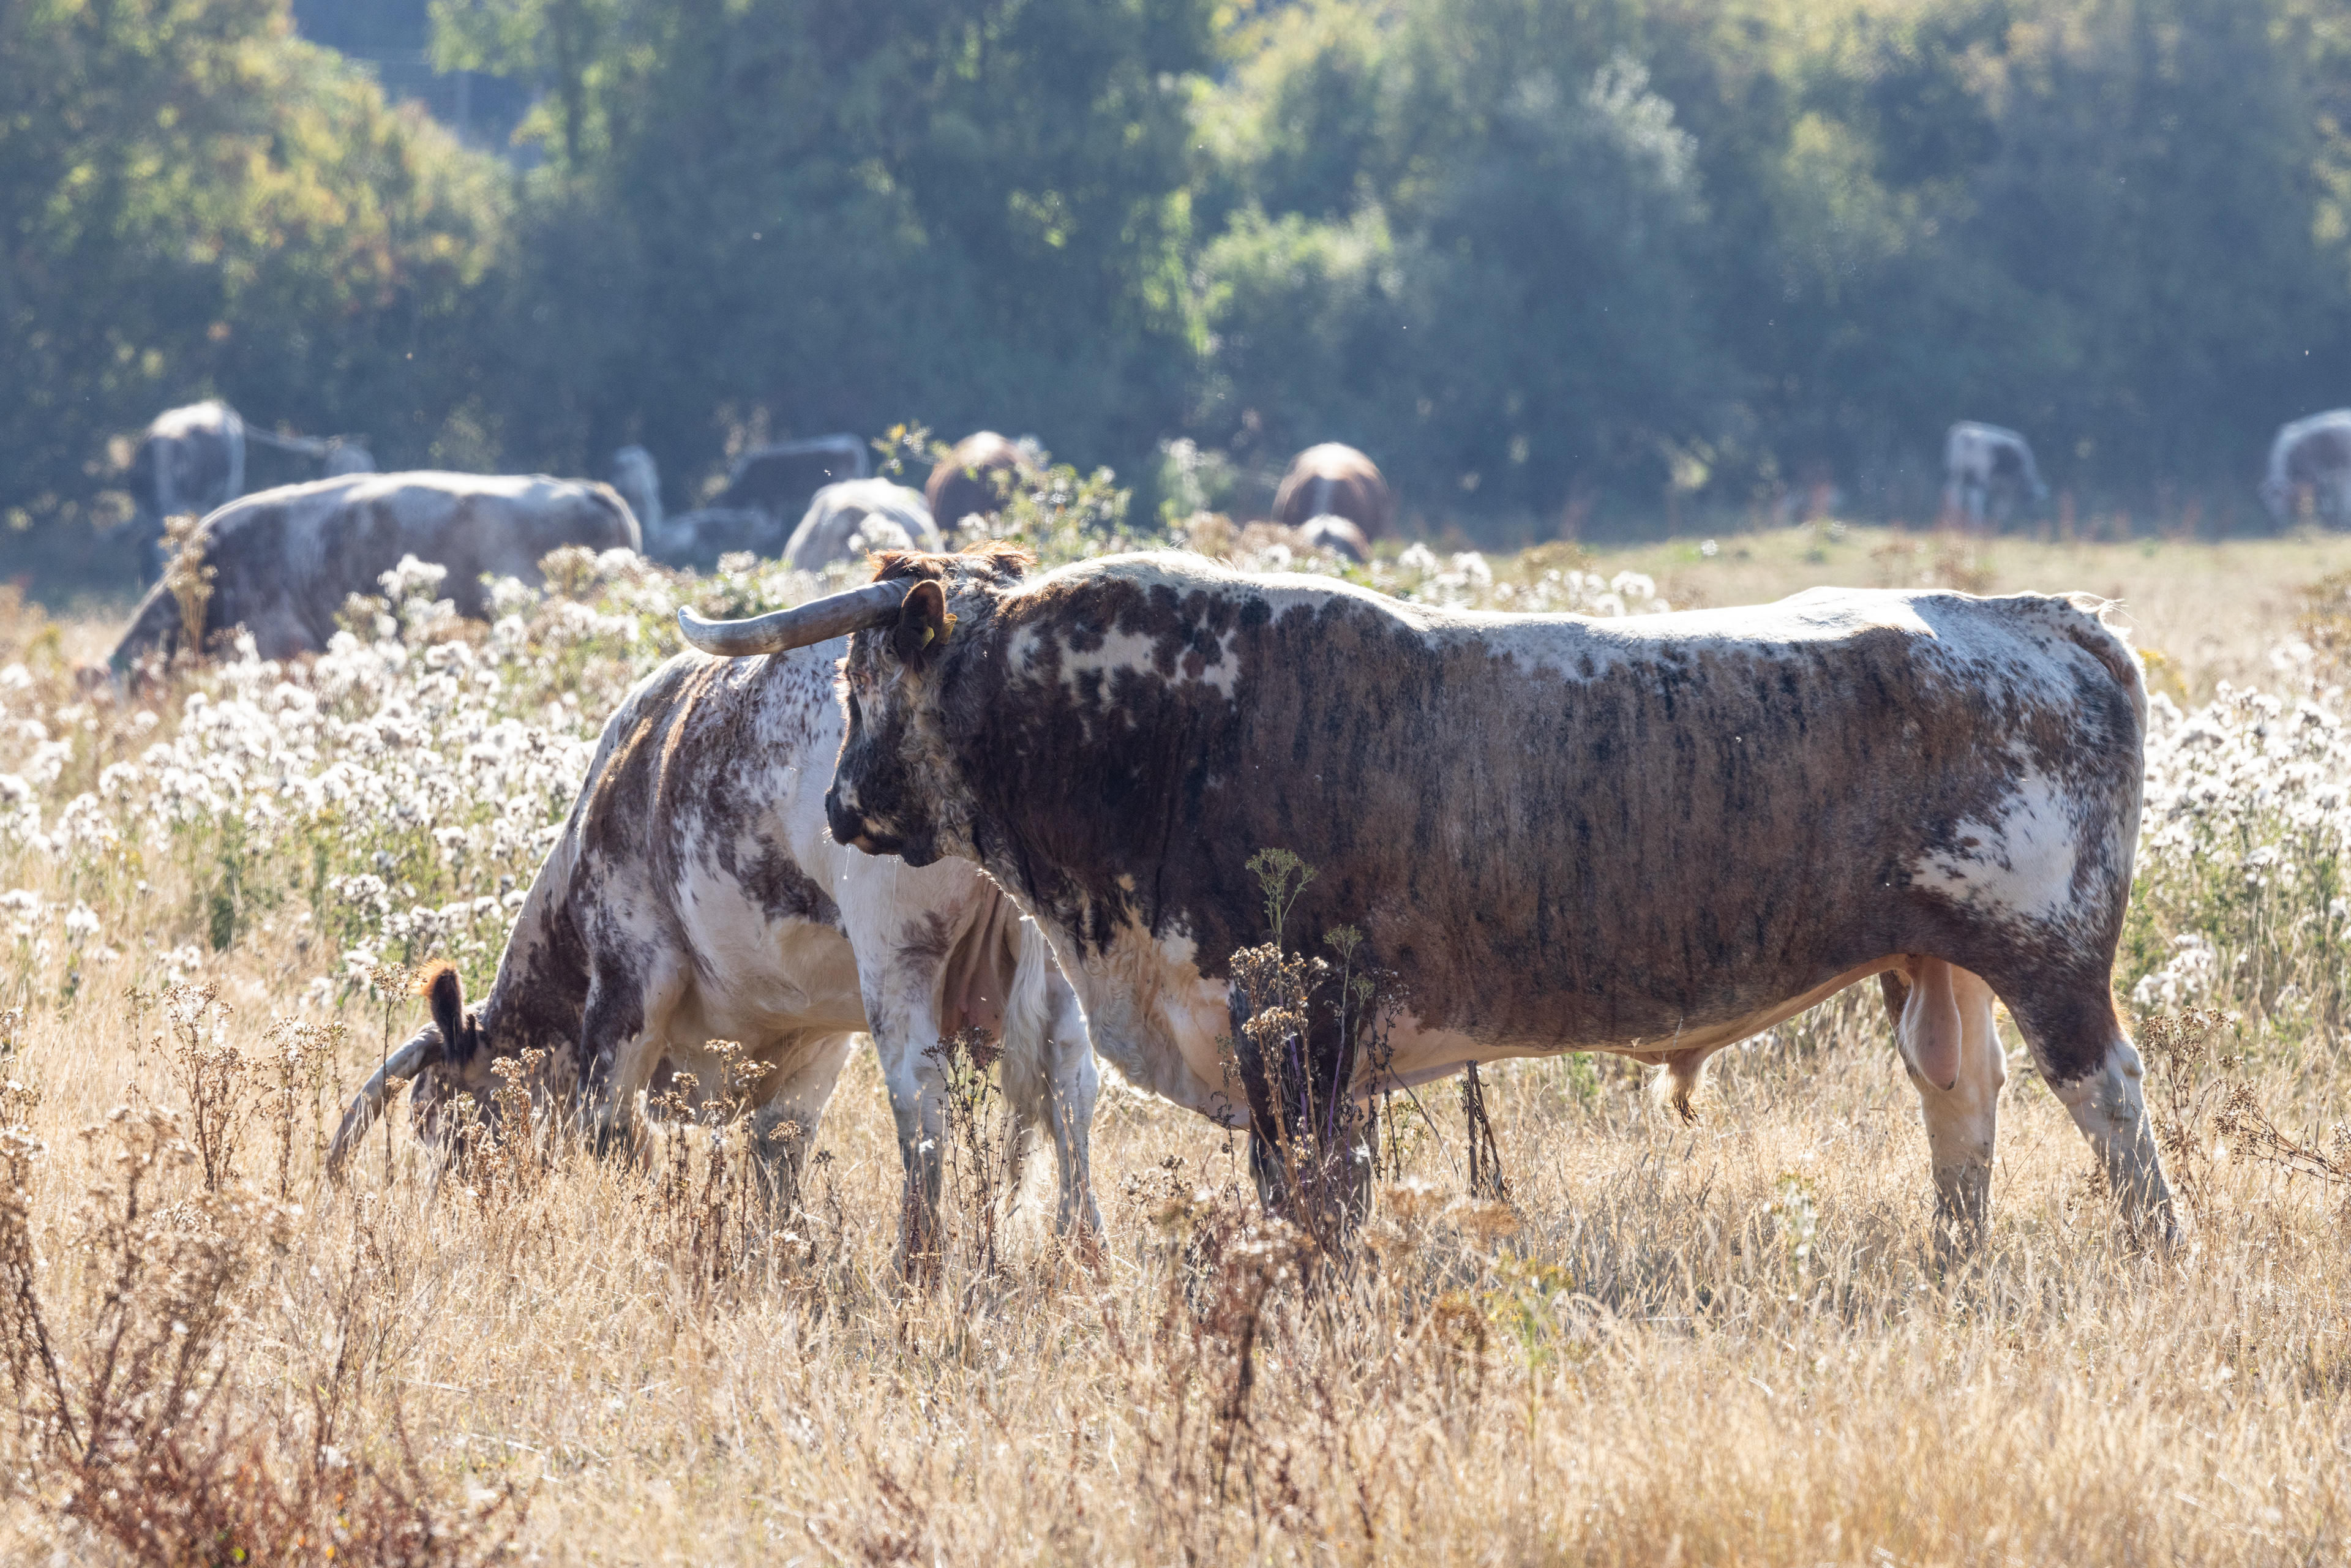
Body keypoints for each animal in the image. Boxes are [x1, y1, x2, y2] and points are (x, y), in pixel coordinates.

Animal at [324, 632, 1101, 1242]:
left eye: (443, 1122)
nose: (448, 1215)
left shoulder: (633, 975)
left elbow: (612, 1130)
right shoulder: (818, 1025)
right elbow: (778, 1149)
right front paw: (789, 1248)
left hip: (897, 956)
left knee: (921, 1101)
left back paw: (920, 1262)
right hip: (1068, 957)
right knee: (1071, 1086)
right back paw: (1081, 1254)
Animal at [677, 545, 2180, 1249]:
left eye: (868, 679)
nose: (838, 805)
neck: (1151, 730)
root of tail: (2046, 619)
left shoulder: (1296, 1027)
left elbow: (1307, 1198)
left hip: (2052, 960)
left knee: (2110, 1103)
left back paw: (2156, 1253)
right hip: (1939, 964)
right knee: (1960, 1106)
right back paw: (1955, 1264)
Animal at [1942, 423, 2049, 528]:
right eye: (2034, 499)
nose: (2033, 513)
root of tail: (1964, 433)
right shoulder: (2007, 489)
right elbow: (2002, 508)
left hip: (1956, 473)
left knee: (1954, 494)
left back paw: (1954, 516)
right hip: (1980, 476)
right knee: (1976, 498)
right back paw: (1977, 522)